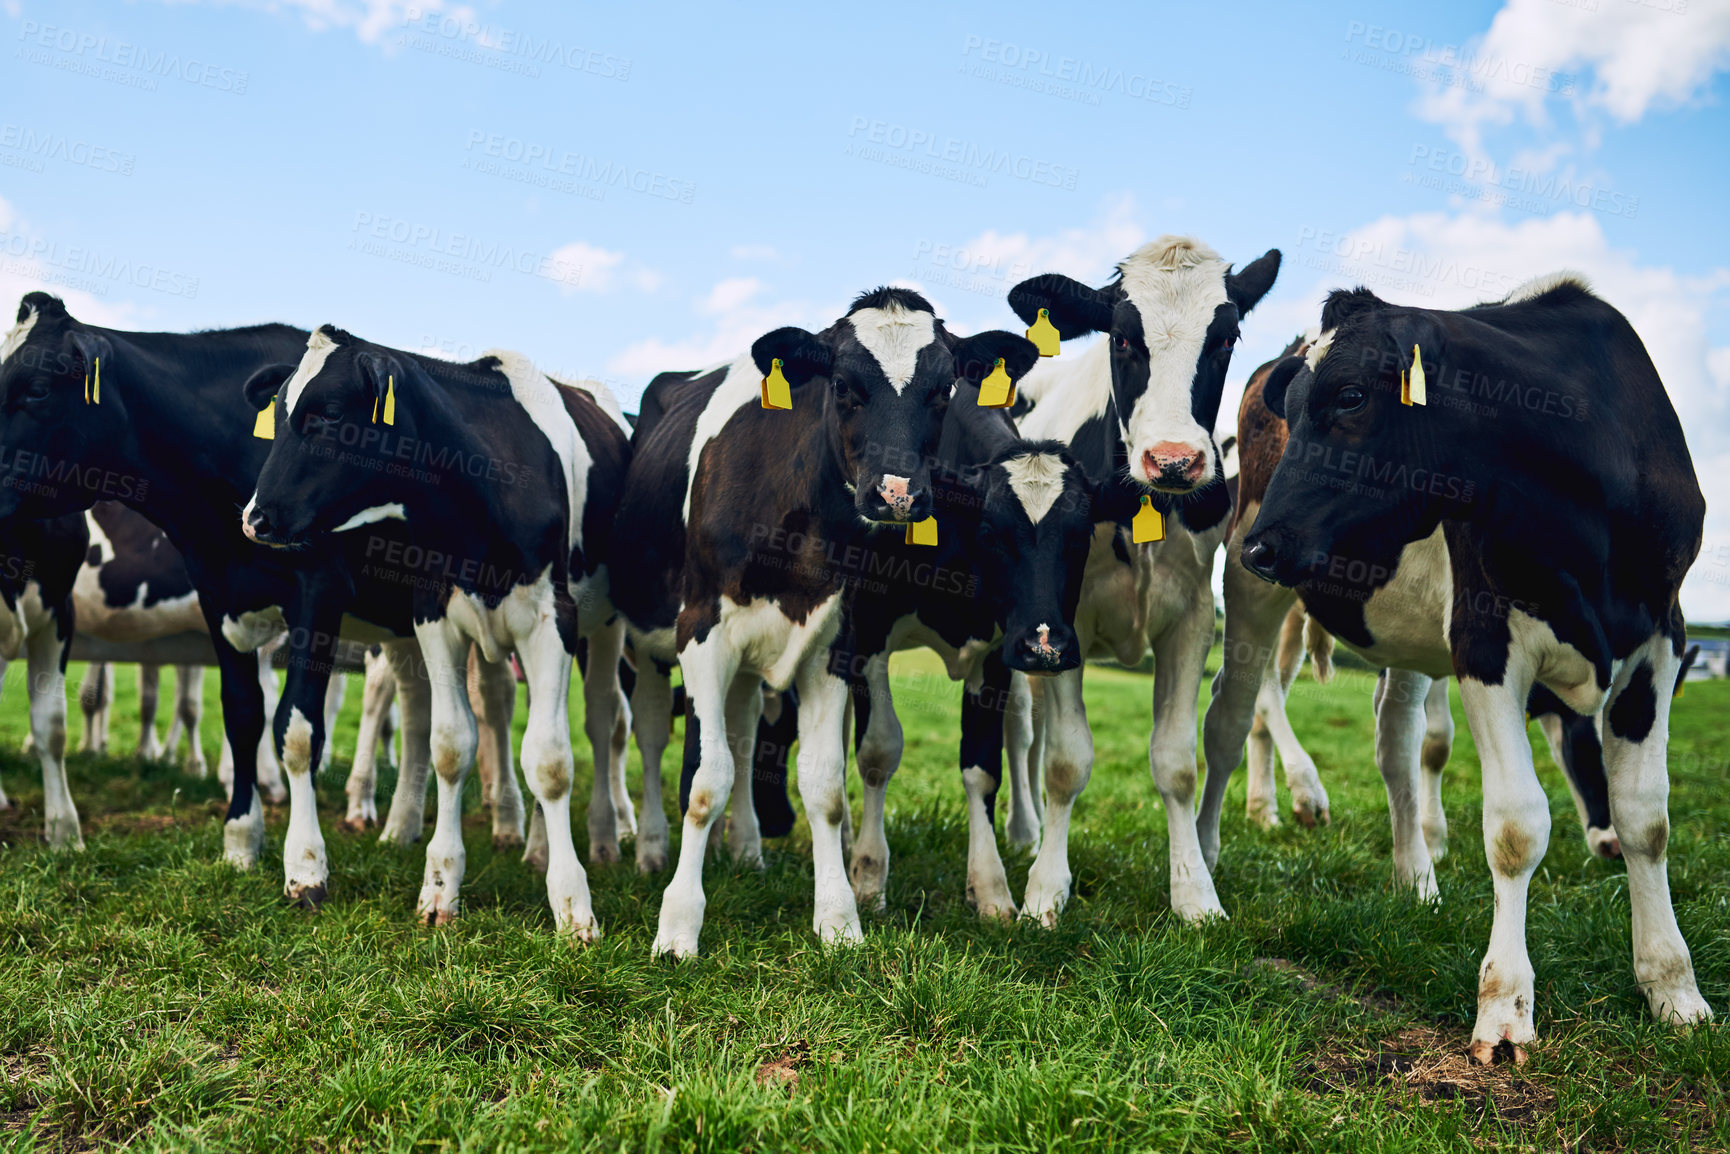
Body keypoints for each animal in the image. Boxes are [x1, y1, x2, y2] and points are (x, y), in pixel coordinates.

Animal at [243, 325, 636, 941]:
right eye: (276, 417)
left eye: (329, 414)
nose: (256, 518)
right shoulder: (434, 613)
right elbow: (452, 744)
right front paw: (440, 886)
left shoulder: (553, 619)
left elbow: (551, 761)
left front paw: (573, 906)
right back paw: (537, 846)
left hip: (606, 627)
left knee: (601, 721)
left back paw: (602, 838)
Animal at [612, 287, 1038, 955]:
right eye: (841, 385)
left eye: (944, 387)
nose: (897, 495)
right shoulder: (701, 631)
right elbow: (704, 780)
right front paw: (678, 926)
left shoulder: (835, 642)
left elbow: (825, 786)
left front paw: (839, 921)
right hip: (645, 643)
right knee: (655, 738)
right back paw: (652, 849)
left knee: (741, 732)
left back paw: (748, 849)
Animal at [1003, 238, 1287, 927]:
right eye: (1124, 338)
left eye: (1227, 337)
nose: (1175, 461)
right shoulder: (1065, 622)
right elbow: (1065, 761)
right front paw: (1045, 889)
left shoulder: (1191, 617)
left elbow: (1177, 762)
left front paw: (1194, 893)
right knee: (1022, 727)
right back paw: (1024, 833)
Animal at [1238, 273, 1709, 1065]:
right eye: (1294, 407)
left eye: (1352, 396)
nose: (1264, 546)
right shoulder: (1484, 638)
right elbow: (1517, 826)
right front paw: (1505, 1010)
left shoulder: (1660, 633)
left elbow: (1649, 817)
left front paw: (1674, 990)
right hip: (1250, 580)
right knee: (1252, 694)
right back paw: (1297, 796)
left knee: (1393, 741)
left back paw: (1412, 876)